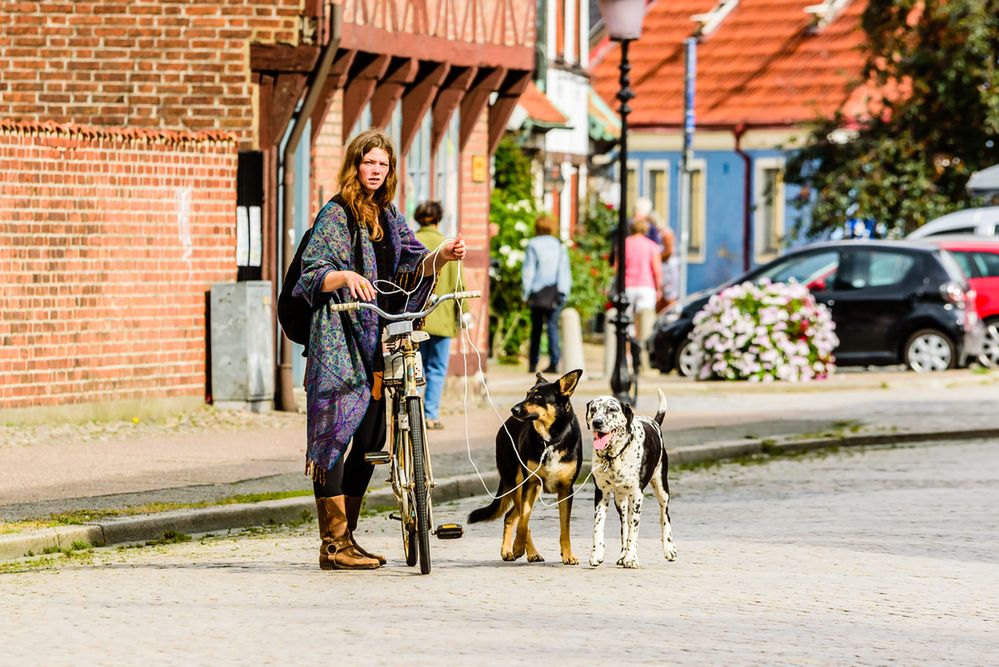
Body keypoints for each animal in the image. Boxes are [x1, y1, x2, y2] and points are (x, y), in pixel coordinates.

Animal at [468, 370, 584, 564]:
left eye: (538, 396)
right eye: (527, 394)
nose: (513, 409)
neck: (550, 440)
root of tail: (506, 423)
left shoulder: (566, 490)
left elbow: (565, 528)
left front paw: (568, 555)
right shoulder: (529, 484)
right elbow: (524, 521)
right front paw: (517, 547)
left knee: (510, 516)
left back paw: (513, 550)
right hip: (517, 484)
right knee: (515, 516)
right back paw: (524, 551)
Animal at [584, 392, 680, 568]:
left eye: (612, 409)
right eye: (593, 409)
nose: (597, 422)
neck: (613, 456)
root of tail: (654, 422)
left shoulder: (637, 495)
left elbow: (634, 531)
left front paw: (631, 558)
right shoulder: (601, 493)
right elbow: (598, 526)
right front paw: (597, 554)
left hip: (662, 489)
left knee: (664, 515)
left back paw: (669, 548)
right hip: (620, 501)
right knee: (624, 524)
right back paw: (623, 554)